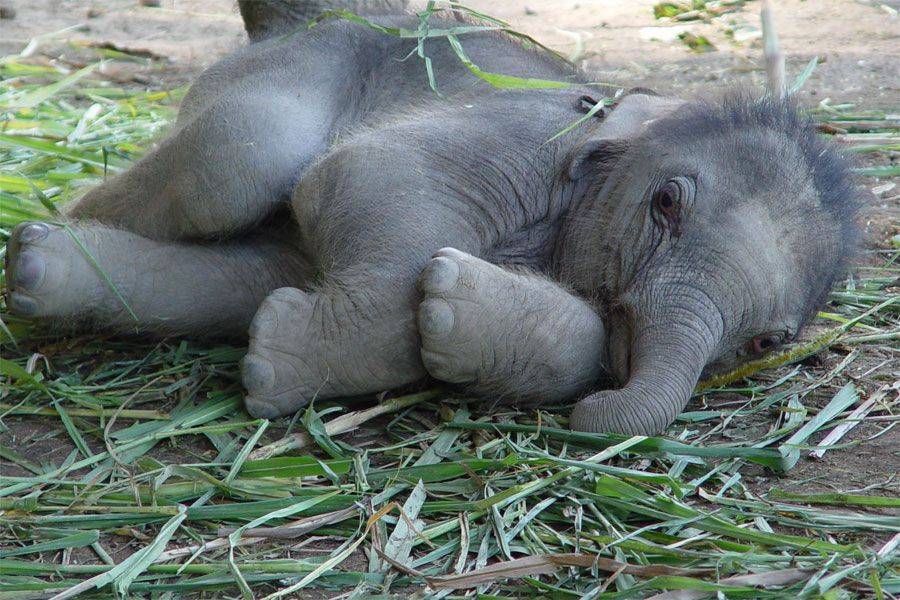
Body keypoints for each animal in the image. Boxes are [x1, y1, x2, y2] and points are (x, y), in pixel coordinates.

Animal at [1, 0, 856, 434]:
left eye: (768, 342)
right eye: (666, 203)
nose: (591, 417)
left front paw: (445, 315)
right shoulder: (521, 135)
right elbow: (367, 174)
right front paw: (275, 371)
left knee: (240, 273)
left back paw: (43, 272)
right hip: (298, 65)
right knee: (239, 158)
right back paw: (35, 250)